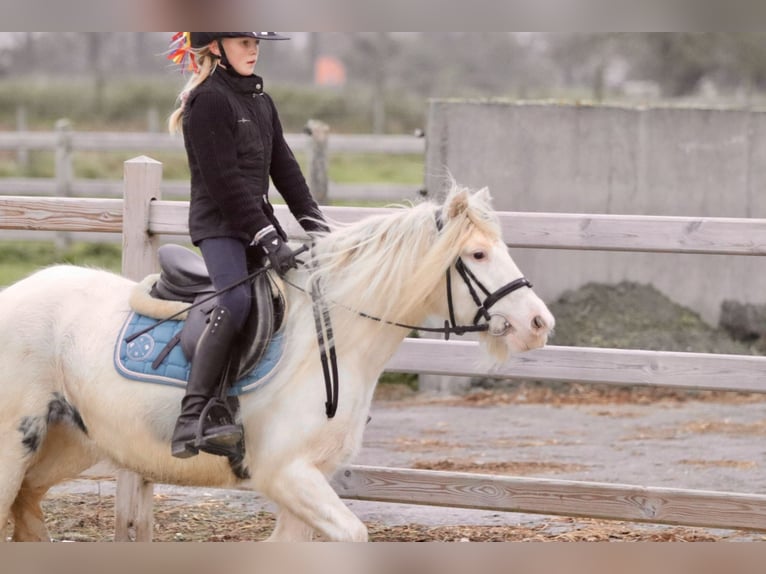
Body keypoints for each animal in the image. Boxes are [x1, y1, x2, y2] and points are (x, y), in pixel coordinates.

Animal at [0, 186, 552, 544]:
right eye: (477, 254)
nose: (539, 323)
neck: (331, 342)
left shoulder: (306, 480)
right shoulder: (286, 475)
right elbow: (353, 535)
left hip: (70, 444)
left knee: (27, 509)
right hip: (15, 448)